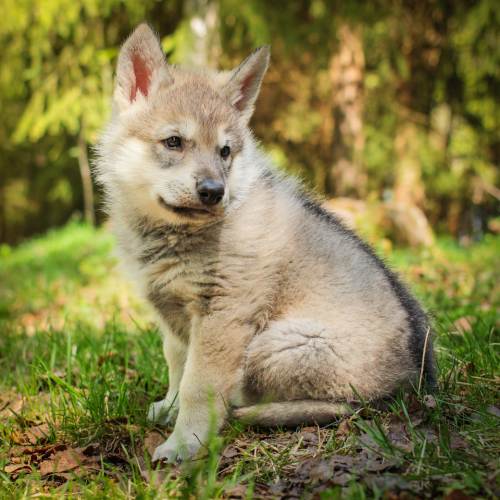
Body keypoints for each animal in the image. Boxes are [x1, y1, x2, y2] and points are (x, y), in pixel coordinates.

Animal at [94, 22, 434, 460]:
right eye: (173, 142)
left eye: (225, 151)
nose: (213, 192)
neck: (171, 235)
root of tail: (414, 380)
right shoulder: (174, 315)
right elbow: (176, 365)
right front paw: (168, 409)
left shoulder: (223, 317)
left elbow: (197, 386)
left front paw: (185, 445)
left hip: (273, 344)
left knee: (346, 404)